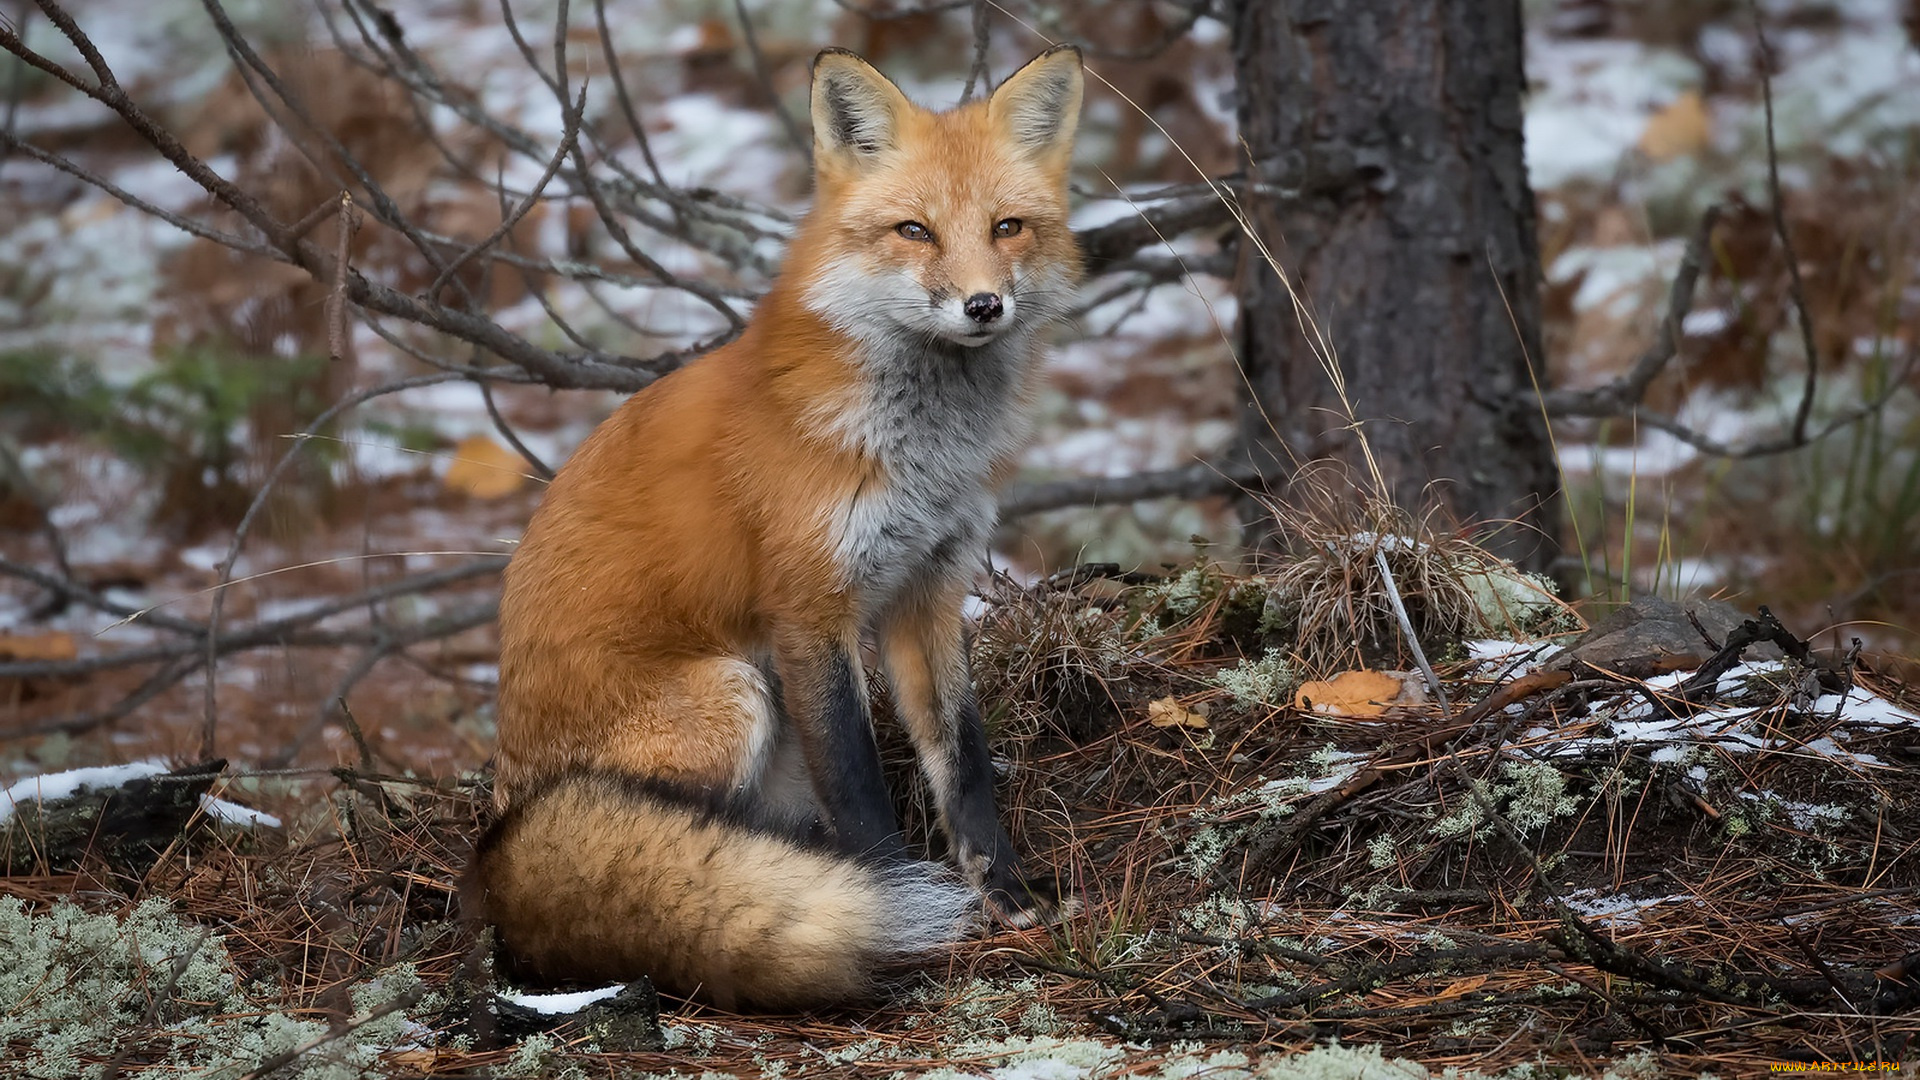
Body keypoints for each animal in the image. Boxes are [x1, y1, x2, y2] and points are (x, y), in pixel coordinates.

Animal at [466, 39, 1090, 999]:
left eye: (1008, 227)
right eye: (915, 232)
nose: (985, 305)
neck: (916, 452)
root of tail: (502, 834)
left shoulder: (927, 590)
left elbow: (964, 759)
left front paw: (1006, 893)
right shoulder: (809, 610)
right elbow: (861, 789)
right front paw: (891, 902)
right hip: (733, 694)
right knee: (679, 843)